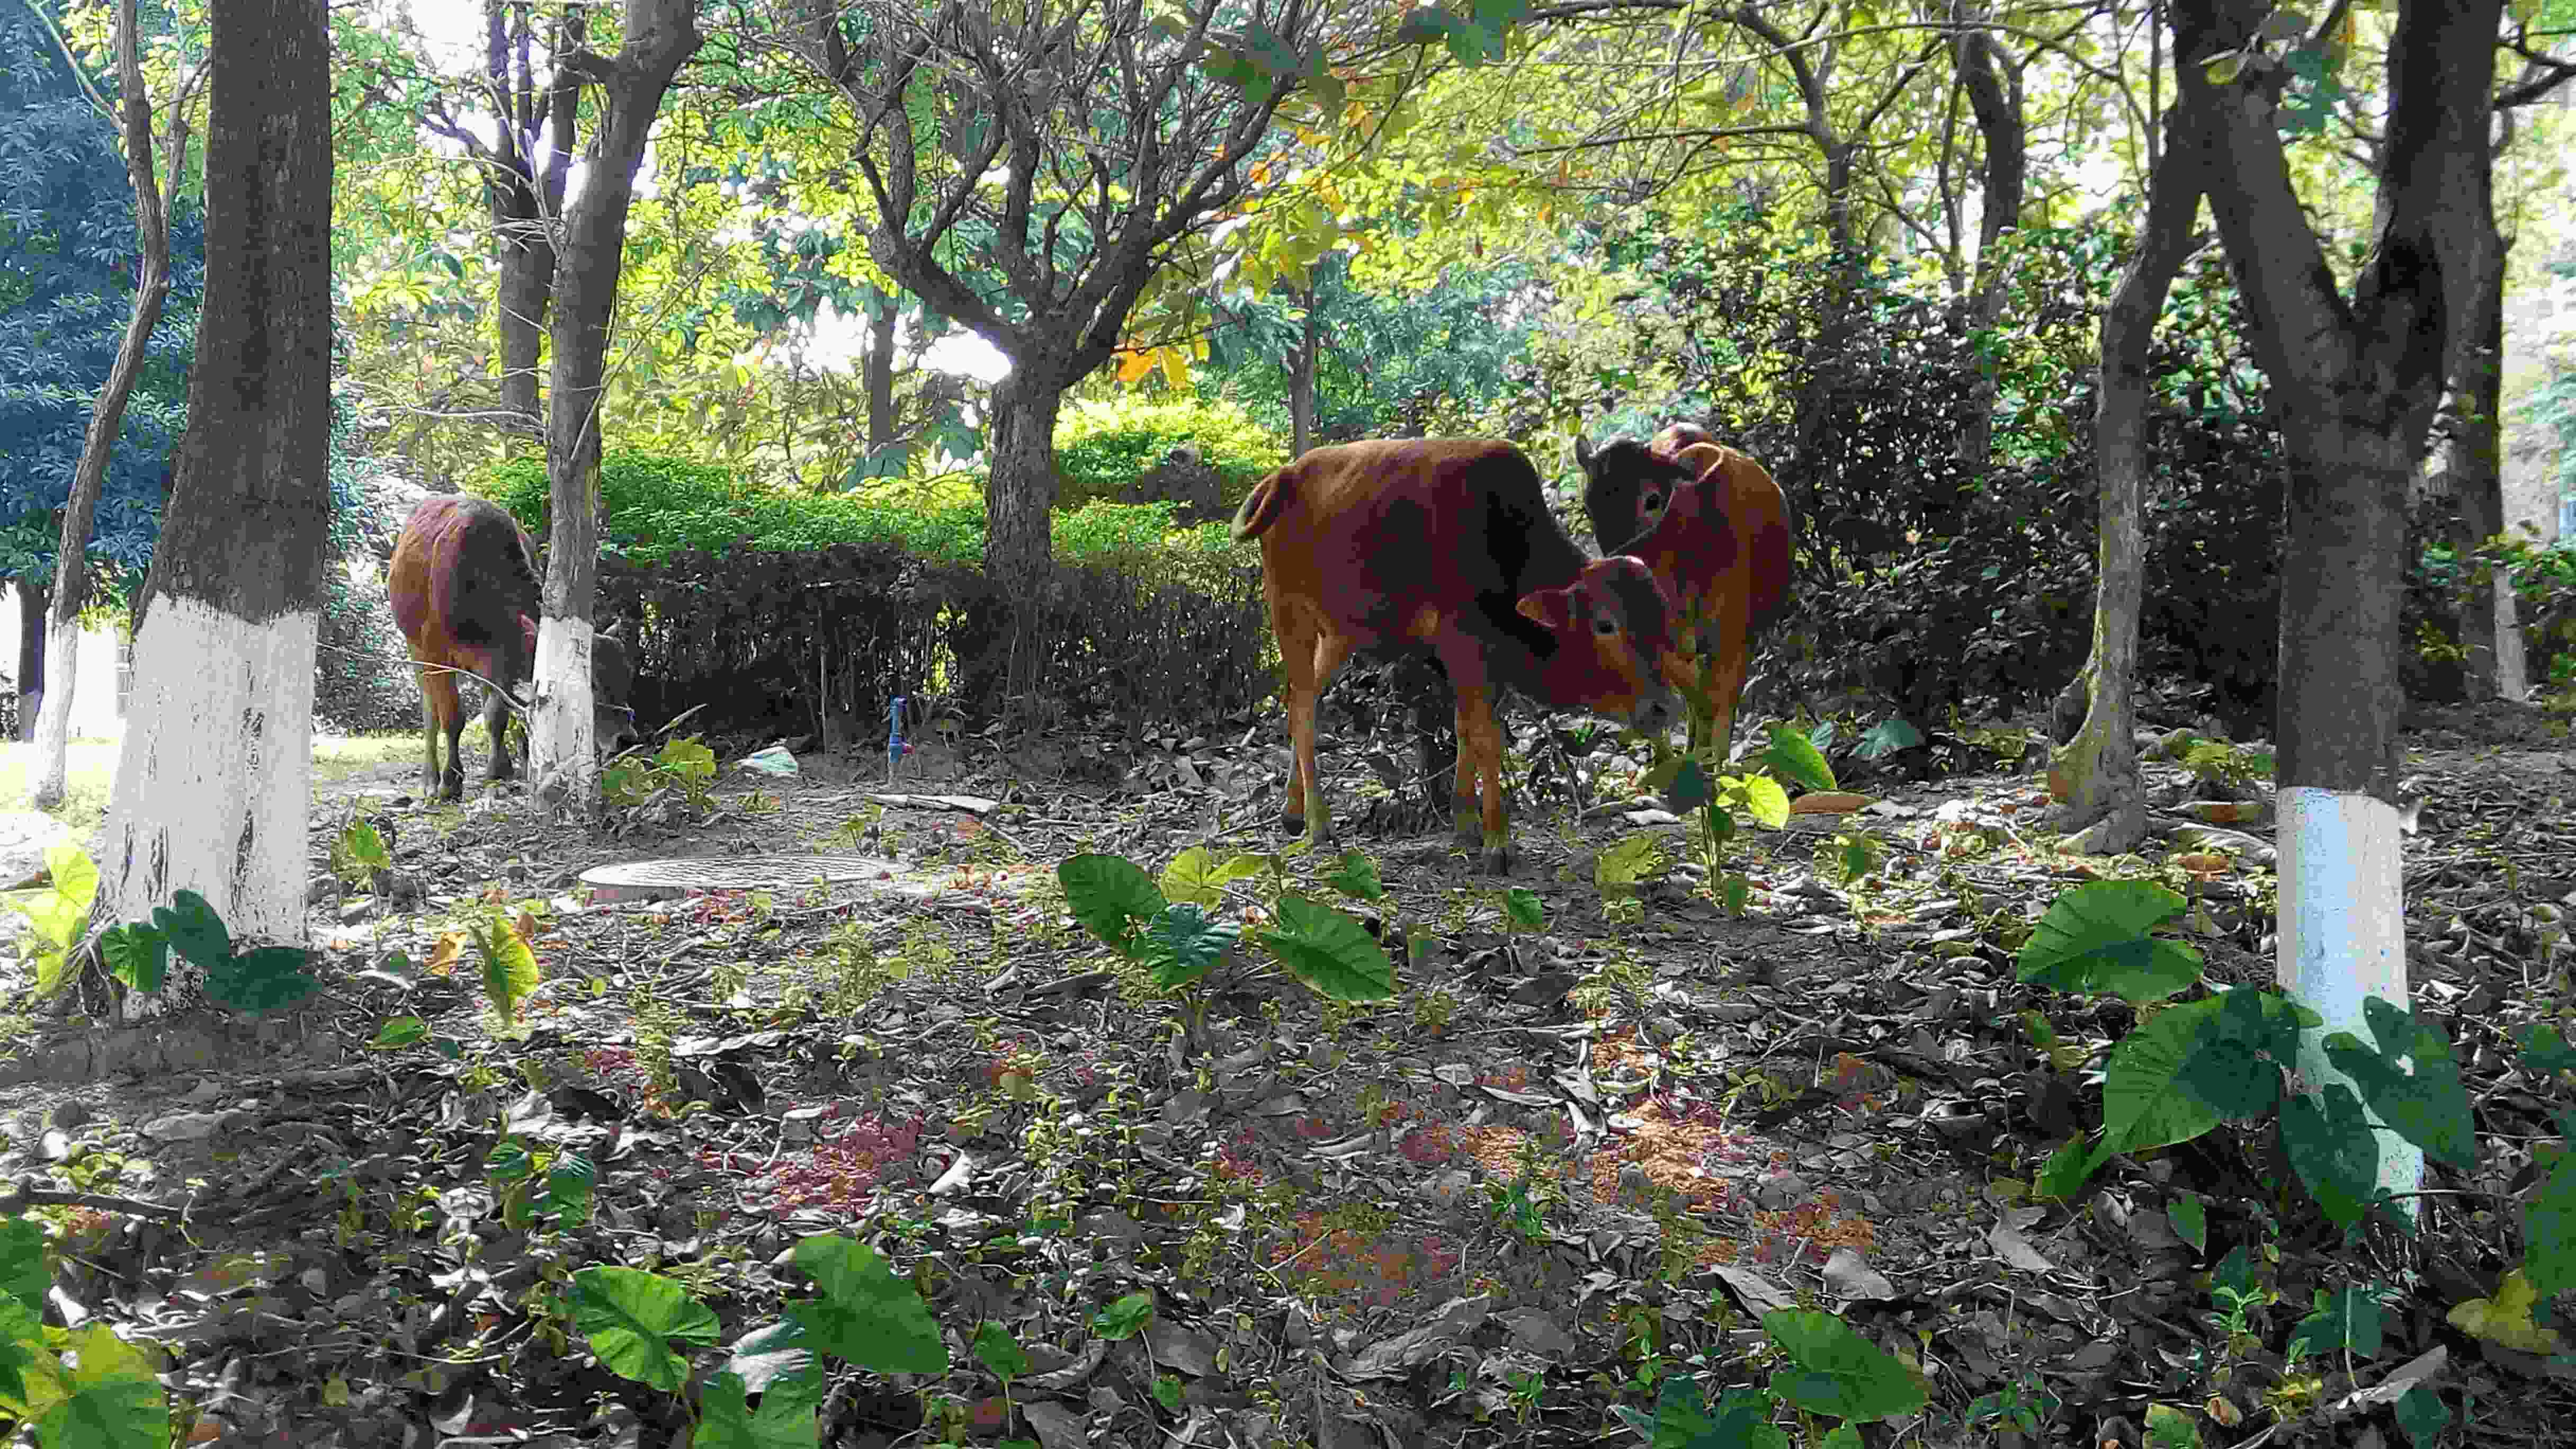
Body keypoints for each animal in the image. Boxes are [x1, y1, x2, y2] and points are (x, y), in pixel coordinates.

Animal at [1241, 438, 1700, 866]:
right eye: (1606, 625)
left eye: (1659, 618)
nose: (1664, 708)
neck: (1504, 544)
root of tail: (1283, 476)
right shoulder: (1463, 646)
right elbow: (1485, 736)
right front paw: (1498, 841)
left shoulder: (1482, 660)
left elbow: (1465, 728)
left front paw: (1465, 823)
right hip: (1288, 612)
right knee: (1303, 706)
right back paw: (1318, 822)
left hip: (1338, 634)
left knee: (1300, 699)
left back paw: (1292, 810)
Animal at [1566, 420, 1793, 763]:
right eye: (1589, 507)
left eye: (1653, 500)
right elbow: (1687, 702)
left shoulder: (1733, 638)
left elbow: (1717, 704)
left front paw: (1716, 765)